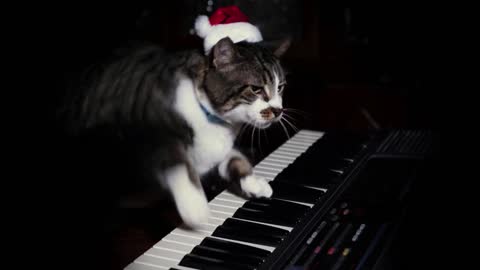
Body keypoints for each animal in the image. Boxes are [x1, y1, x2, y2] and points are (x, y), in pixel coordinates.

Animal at [62, 36, 288, 228]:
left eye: (280, 87)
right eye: (256, 89)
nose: (278, 110)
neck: (209, 116)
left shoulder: (216, 149)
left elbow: (235, 159)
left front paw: (255, 182)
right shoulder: (144, 128)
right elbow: (175, 157)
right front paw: (194, 205)